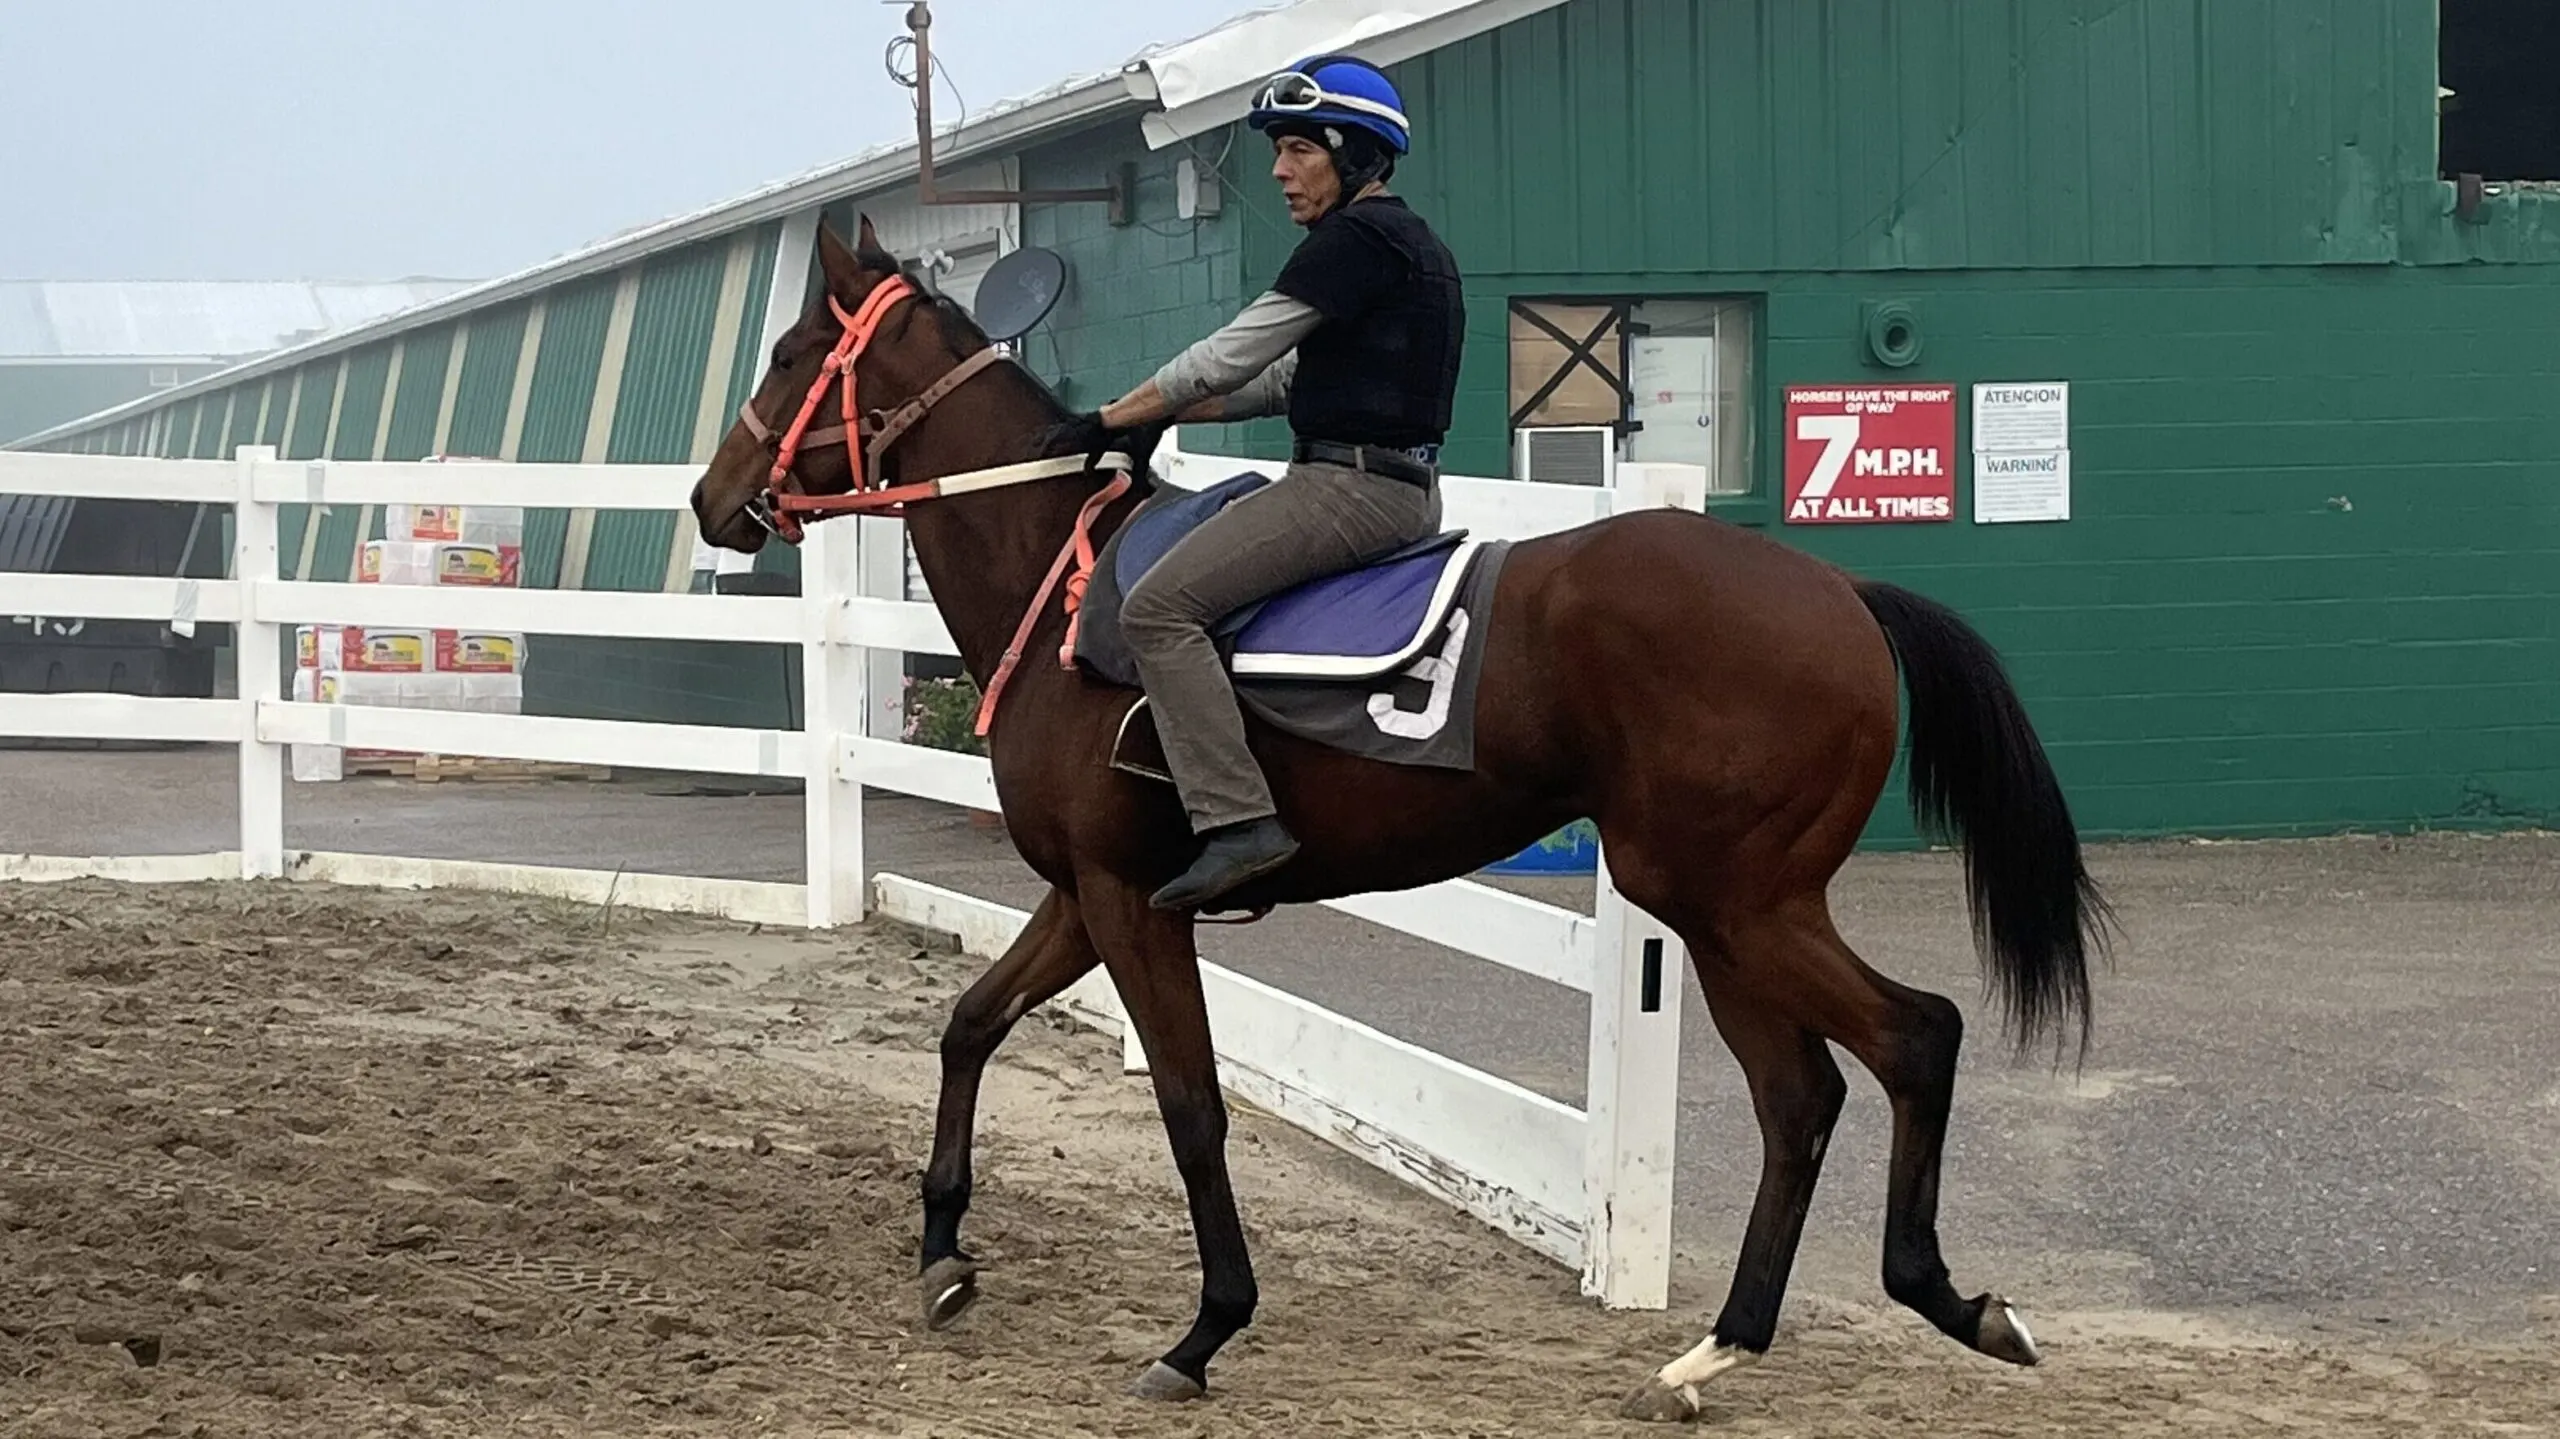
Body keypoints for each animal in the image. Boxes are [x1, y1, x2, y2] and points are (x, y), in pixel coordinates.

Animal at [691, 218, 2109, 1413]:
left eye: (790, 352)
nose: (713, 499)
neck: (1065, 581)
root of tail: (1839, 592)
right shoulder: (1081, 896)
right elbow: (970, 1024)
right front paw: (942, 1244)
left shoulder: (1130, 903)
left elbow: (1190, 1104)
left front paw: (1205, 1327)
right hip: (1724, 912)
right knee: (1799, 1095)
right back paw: (1722, 1344)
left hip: (1732, 901)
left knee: (1912, 1037)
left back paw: (1943, 1299)